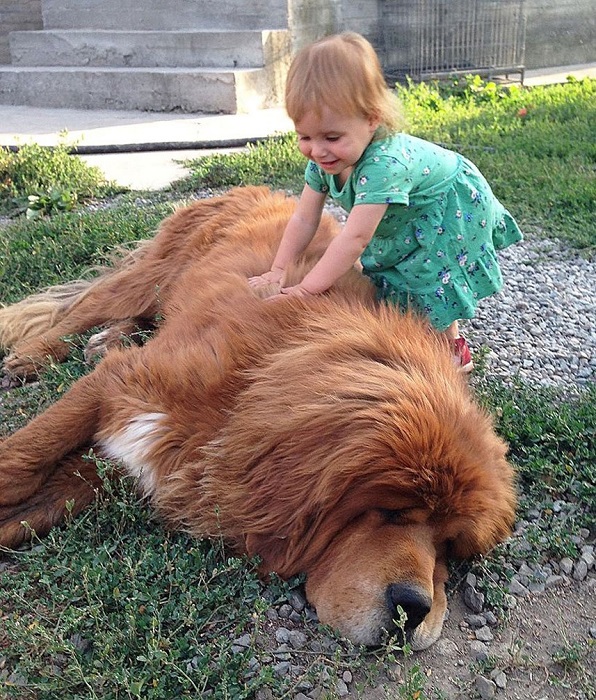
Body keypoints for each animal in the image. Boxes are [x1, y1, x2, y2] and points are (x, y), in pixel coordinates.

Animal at [0, 187, 516, 652]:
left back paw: (109, 338)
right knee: (76, 314)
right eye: (389, 509)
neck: (252, 386)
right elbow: (21, 462)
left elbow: (34, 504)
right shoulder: (116, 385)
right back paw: (33, 356)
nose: (415, 610)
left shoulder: (126, 459)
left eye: (449, 546)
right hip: (144, 278)